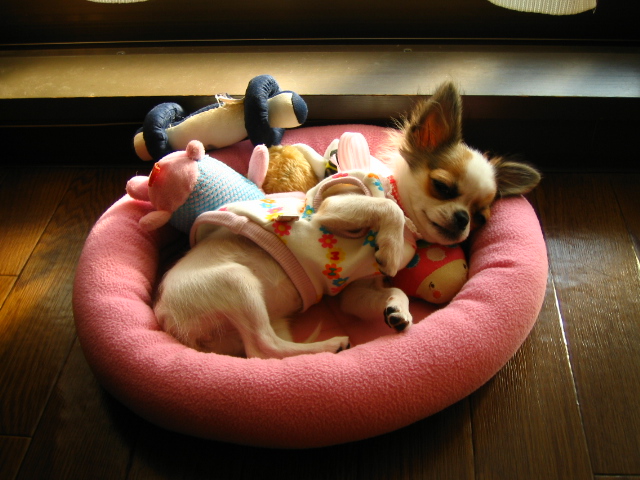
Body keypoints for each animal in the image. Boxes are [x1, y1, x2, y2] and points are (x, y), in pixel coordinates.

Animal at [154, 81, 541, 359]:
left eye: (481, 217)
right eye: (443, 187)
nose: (462, 219)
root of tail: (164, 315)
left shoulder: (355, 292)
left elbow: (393, 288)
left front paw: (398, 310)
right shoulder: (331, 206)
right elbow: (389, 209)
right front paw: (390, 245)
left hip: (266, 317)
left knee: (264, 349)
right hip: (236, 283)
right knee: (264, 349)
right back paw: (330, 345)